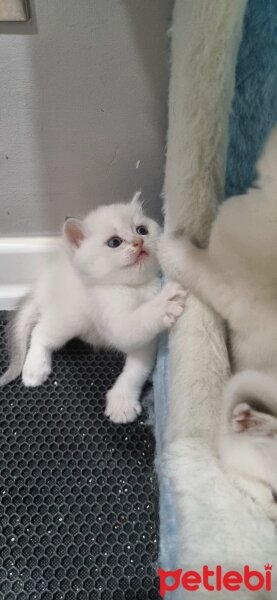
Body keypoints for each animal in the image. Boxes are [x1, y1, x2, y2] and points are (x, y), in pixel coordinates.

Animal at [0, 192, 185, 422]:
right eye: (114, 242)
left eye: (142, 229)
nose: (139, 241)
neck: (134, 287)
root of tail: (41, 286)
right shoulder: (114, 320)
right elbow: (137, 320)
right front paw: (166, 301)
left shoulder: (146, 344)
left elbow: (136, 371)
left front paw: (122, 402)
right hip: (70, 318)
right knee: (40, 332)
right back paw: (35, 369)